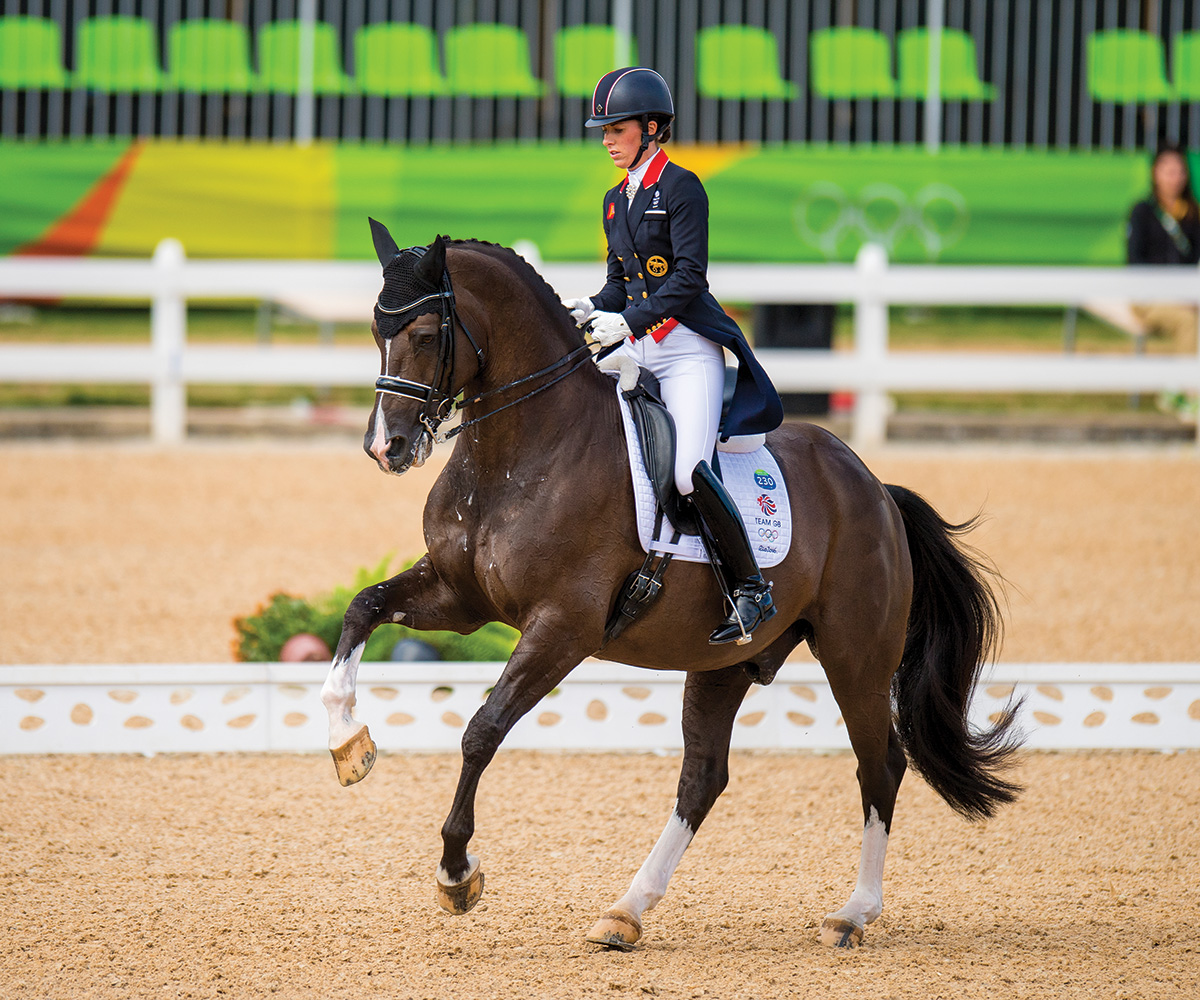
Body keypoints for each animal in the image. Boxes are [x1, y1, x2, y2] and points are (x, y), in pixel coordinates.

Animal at [314, 225, 1017, 950]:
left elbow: (482, 730)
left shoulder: (563, 626)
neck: (520, 452)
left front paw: (457, 873)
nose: (386, 447)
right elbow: (362, 608)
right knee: (703, 777)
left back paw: (852, 913)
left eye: (427, 333)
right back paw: (626, 911)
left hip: (856, 656)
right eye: (376, 329)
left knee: (881, 764)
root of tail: (874, 487)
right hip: (725, 661)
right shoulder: (461, 599)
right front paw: (348, 743)